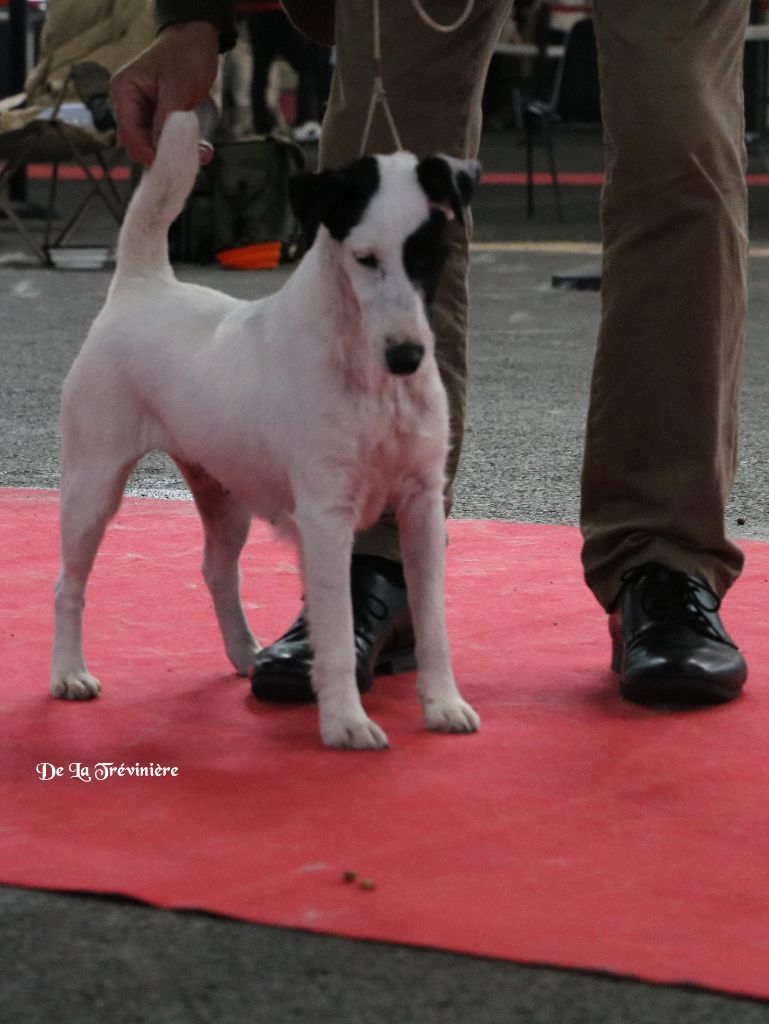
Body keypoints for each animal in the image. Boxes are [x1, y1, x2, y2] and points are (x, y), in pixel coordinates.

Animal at [51, 114, 481, 753]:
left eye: (425, 254)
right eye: (364, 258)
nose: (405, 356)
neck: (366, 375)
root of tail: (141, 286)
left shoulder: (421, 504)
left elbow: (433, 622)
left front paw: (443, 705)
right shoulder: (327, 514)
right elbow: (336, 626)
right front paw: (345, 721)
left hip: (224, 493)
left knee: (216, 569)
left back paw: (244, 652)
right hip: (92, 484)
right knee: (69, 585)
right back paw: (68, 672)